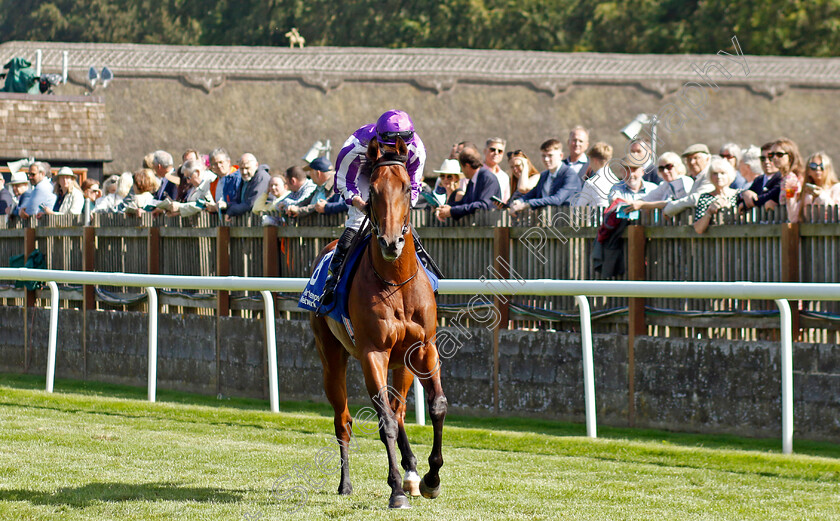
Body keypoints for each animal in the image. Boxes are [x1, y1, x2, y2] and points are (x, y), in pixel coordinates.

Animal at [310, 136, 446, 506]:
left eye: (406, 187)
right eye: (372, 190)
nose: (390, 242)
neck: (395, 281)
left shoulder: (424, 349)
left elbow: (436, 406)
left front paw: (430, 478)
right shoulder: (373, 353)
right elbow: (383, 422)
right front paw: (396, 489)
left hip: (402, 364)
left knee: (398, 411)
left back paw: (413, 472)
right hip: (332, 359)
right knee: (343, 420)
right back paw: (345, 484)